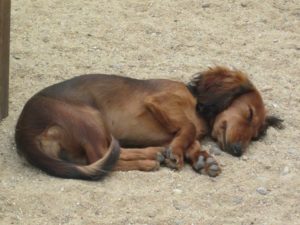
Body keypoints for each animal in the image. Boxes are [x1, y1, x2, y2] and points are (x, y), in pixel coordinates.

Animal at [14, 66, 282, 180]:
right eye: (249, 113)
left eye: (255, 135)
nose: (238, 151)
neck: (195, 103)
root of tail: (23, 132)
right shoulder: (160, 101)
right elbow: (188, 128)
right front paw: (177, 153)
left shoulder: (175, 131)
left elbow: (190, 140)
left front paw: (203, 160)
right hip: (89, 117)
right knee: (102, 158)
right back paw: (150, 158)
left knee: (102, 158)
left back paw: (153, 154)